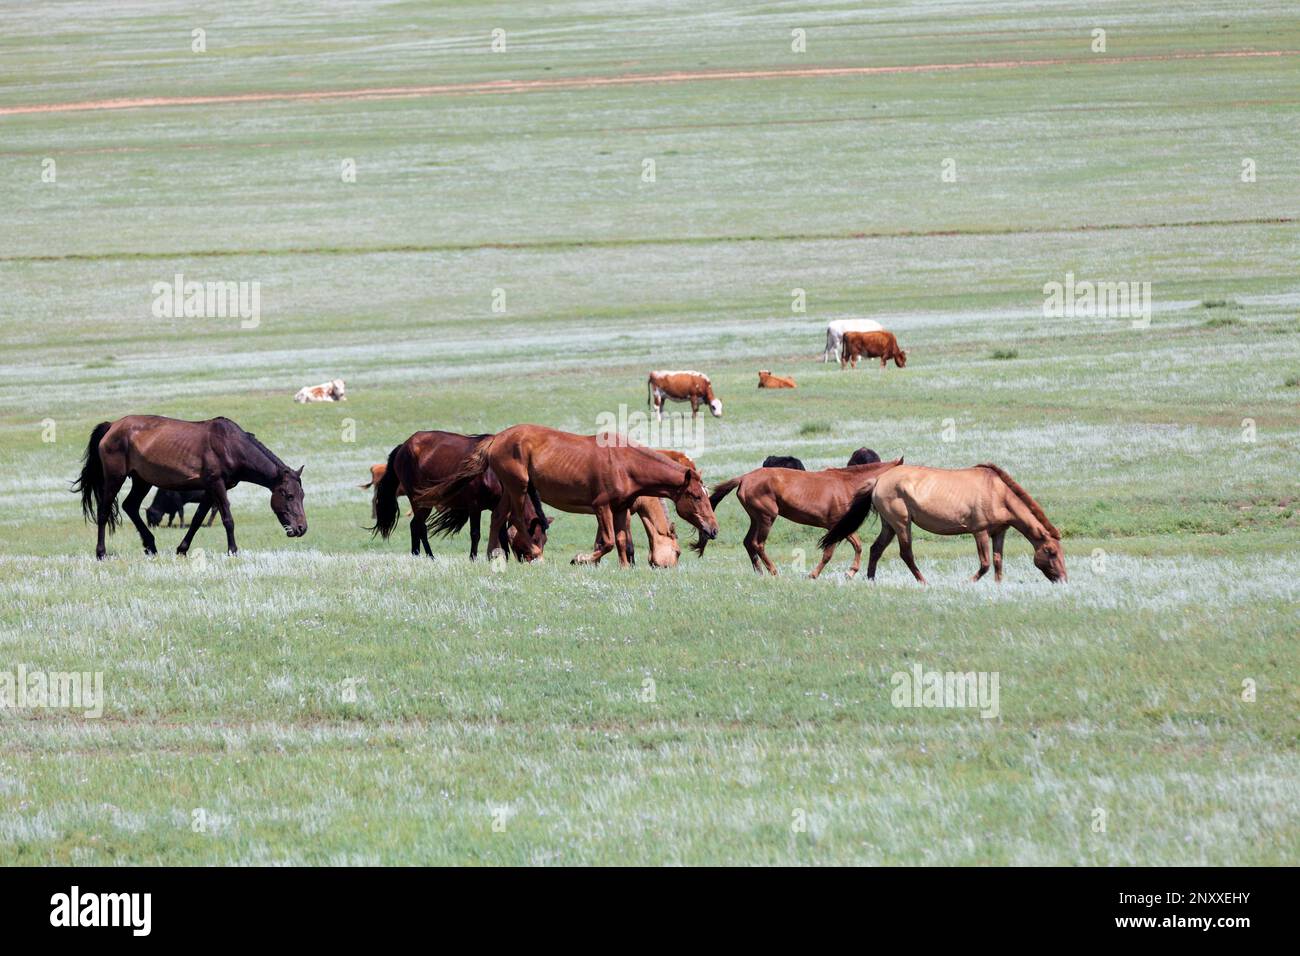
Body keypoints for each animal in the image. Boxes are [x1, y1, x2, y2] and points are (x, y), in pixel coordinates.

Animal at [74, 416, 306, 559]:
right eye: (288, 495)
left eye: (302, 495)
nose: (301, 528)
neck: (230, 445)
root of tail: (112, 426)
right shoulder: (217, 485)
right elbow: (227, 519)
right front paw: (232, 551)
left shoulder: (211, 490)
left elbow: (196, 520)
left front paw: (182, 550)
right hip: (115, 478)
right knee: (104, 511)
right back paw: (101, 553)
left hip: (142, 480)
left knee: (130, 506)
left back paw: (151, 546)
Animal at [371, 430, 546, 560]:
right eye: (535, 539)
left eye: (544, 541)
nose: (536, 559)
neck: (494, 473)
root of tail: (403, 446)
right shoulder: (474, 506)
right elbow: (475, 534)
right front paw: (473, 558)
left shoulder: (498, 507)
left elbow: (501, 534)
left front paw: (505, 558)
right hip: (419, 500)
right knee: (419, 526)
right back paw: (428, 556)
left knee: (415, 526)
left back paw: (417, 555)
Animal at [420, 425, 718, 566]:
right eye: (696, 496)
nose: (713, 530)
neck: (625, 463)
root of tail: (496, 439)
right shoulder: (602, 507)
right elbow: (608, 542)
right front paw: (580, 559)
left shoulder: (621, 508)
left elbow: (622, 542)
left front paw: (624, 567)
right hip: (519, 487)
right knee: (516, 520)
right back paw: (534, 553)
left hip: (509, 489)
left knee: (497, 518)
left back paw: (495, 556)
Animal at [693, 460, 902, 577]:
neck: (848, 486)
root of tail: (744, 478)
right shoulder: (835, 526)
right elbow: (829, 553)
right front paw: (813, 575)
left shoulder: (840, 527)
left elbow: (857, 546)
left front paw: (850, 573)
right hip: (767, 517)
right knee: (757, 543)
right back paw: (773, 571)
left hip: (756, 518)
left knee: (748, 542)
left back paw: (759, 572)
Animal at [819, 463, 1067, 583]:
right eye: (1051, 551)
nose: (1063, 579)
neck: (998, 493)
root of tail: (879, 480)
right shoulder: (979, 531)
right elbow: (985, 564)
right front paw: (968, 582)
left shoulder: (999, 532)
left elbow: (997, 562)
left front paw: (998, 586)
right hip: (902, 524)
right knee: (906, 553)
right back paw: (923, 582)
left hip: (889, 525)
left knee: (876, 549)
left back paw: (871, 580)